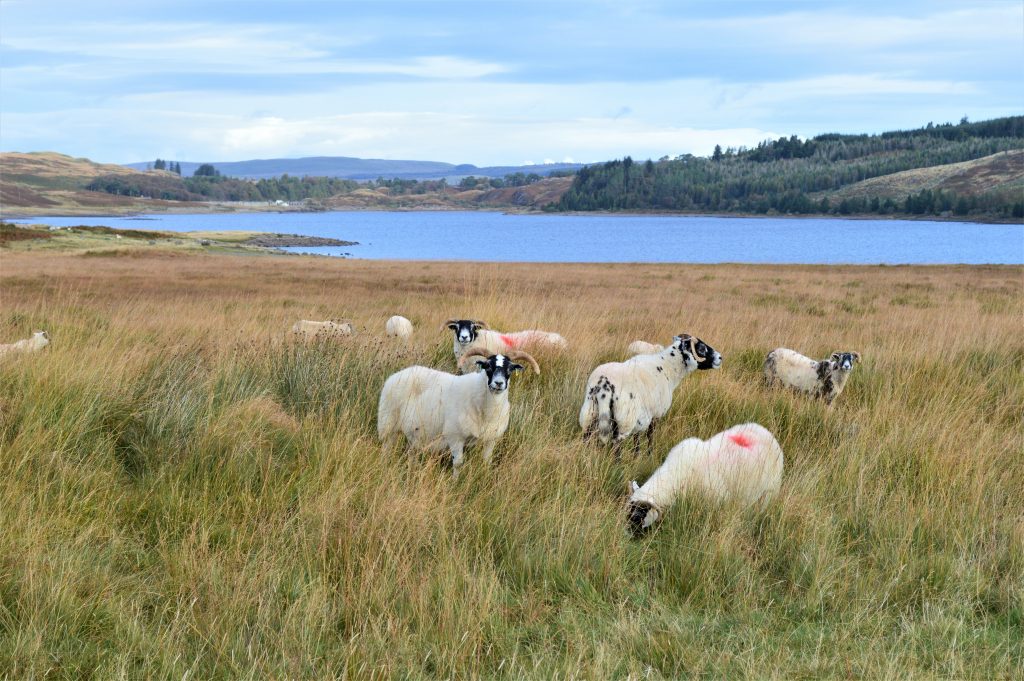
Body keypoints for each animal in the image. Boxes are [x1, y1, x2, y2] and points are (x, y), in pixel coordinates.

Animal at [378, 348, 540, 475]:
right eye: (487, 366)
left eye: (510, 369)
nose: (498, 383)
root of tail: (398, 374)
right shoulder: (455, 437)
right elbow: (458, 464)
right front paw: (455, 482)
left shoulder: (491, 439)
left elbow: (487, 461)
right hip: (388, 425)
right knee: (386, 448)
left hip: (415, 433)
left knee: (411, 452)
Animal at [581, 333, 724, 456]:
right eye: (701, 348)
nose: (720, 357)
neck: (668, 367)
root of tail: (603, 385)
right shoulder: (656, 413)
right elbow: (650, 435)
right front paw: (649, 454)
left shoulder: (641, 415)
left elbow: (637, 438)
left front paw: (636, 455)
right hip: (624, 417)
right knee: (617, 443)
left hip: (590, 412)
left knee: (587, 436)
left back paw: (586, 457)